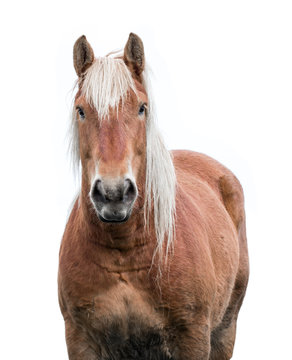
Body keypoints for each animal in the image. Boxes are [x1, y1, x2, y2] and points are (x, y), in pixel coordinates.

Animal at [58, 33, 249, 360]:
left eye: (141, 107)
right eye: (81, 110)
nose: (113, 194)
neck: (124, 250)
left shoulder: (193, 338)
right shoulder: (80, 340)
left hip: (225, 330)